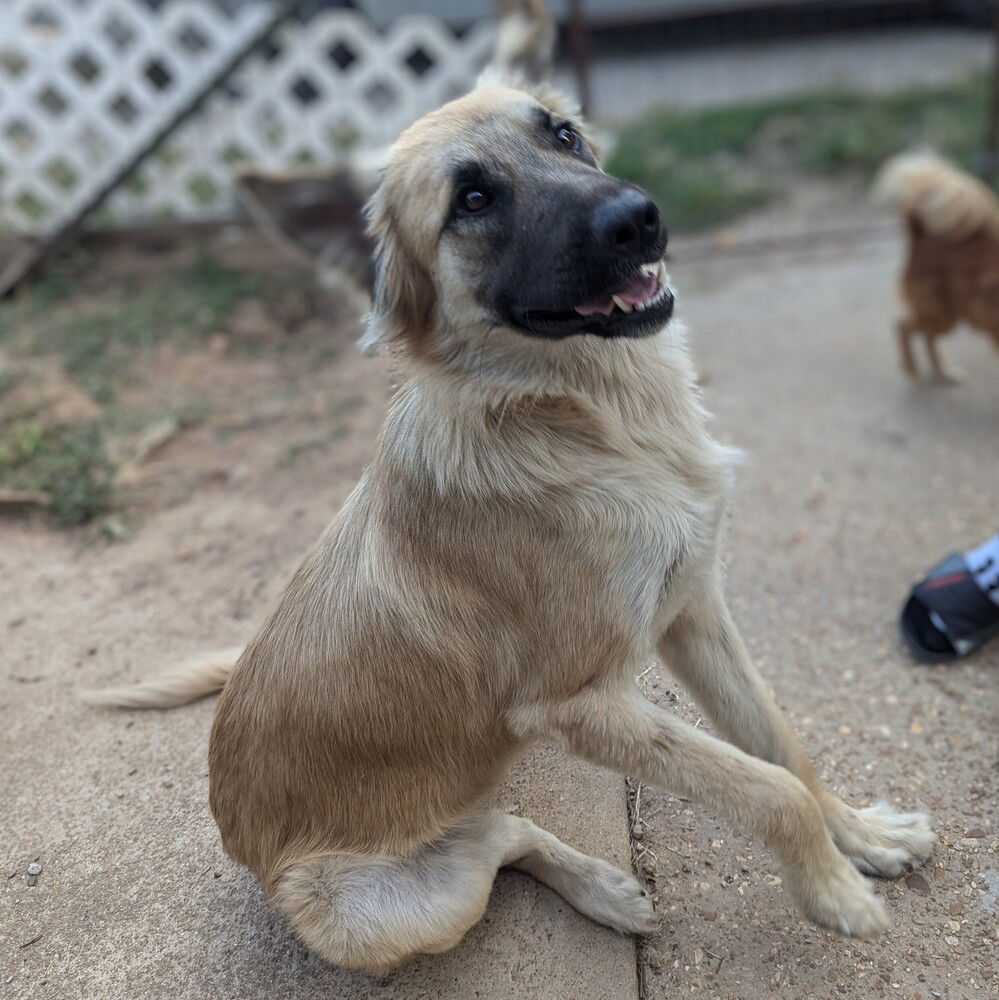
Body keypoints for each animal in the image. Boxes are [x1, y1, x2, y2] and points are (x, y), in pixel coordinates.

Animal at [88, 82, 936, 972]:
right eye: (471, 199)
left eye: (562, 135)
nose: (639, 218)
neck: (585, 416)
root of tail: (239, 840)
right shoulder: (577, 704)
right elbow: (763, 786)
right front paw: (832, 891)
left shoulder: (694, 611)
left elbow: (778, 742)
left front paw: (859, 835)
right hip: (371, 916)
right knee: (499, 841)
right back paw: (602, 891)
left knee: (500, 827)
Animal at [880, 150, 999, 380]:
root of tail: (922, 234)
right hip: (939, 313)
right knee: (903, 326)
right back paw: (912, 367)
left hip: (946, 315)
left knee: (927, 338)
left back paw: (943, 370)